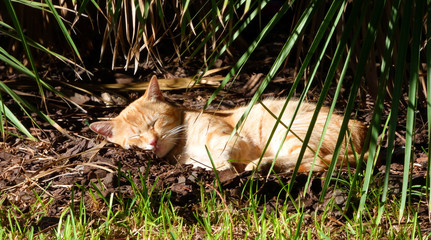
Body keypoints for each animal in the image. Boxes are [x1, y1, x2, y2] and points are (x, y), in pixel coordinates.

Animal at [91, 76, 368, 172]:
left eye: (155, 122)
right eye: (135, 137)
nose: (152, 141)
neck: (181, 149)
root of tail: (363, 129)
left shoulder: (229, 138)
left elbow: (222, 153)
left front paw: (221, 166)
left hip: (290, 132)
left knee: (315, 160)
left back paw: (262, 165)